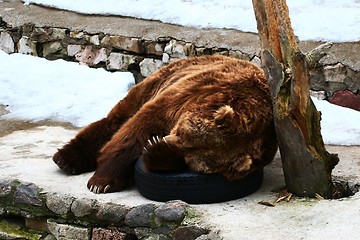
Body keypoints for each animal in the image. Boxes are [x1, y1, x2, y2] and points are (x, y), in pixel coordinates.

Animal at [52, 55, 278, 194]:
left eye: (189, 154)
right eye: (183, 134)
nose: (165, 138)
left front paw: (155, 150)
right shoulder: (194, 93)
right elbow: (139, 128)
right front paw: (102, 181)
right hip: (156, 83)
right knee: (115, 120)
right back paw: (65, 159)